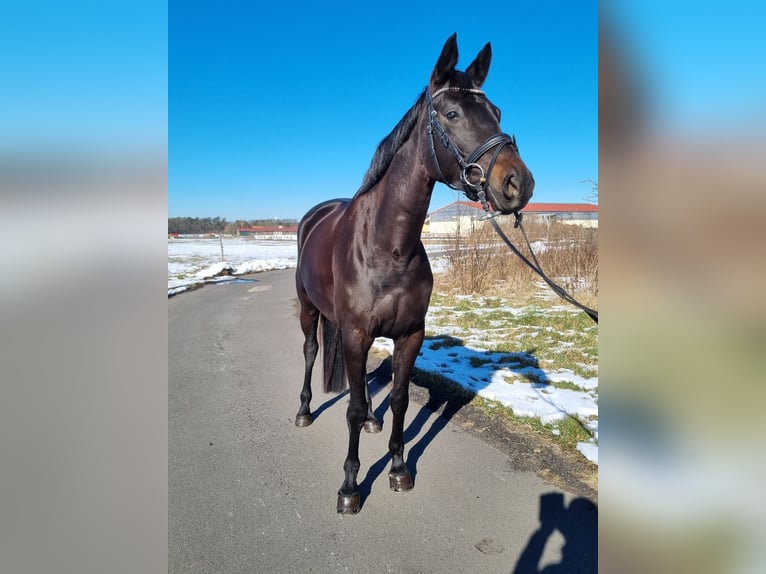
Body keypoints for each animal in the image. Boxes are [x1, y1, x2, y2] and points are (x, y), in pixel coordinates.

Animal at [296, 33, 536, 516]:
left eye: (497, 111)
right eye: (452, 113)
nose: (518, 184)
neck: (389, 247)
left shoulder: (410, 335)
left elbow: (400, 400)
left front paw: (398, 468)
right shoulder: (354, 333)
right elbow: (350, 408)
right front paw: (350, 486)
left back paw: (372, 420)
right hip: (309, 310)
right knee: (312, 353)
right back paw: (305, 411)